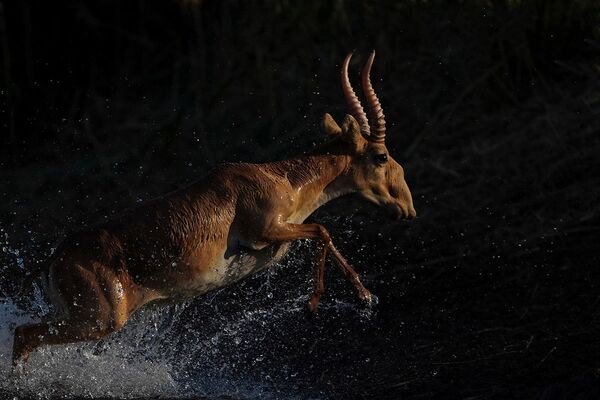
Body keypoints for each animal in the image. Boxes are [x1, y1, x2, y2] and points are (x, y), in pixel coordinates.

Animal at [14, 51, 418, 368]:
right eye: (381, 155)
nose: (407, 208)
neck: (281, 180)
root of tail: (54, 260)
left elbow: (322, 233)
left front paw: (364, 296)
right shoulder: (265, 231)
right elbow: (322, 230)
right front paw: (318, 303)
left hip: (74, 315)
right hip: (101, 320)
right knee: (23, 334)